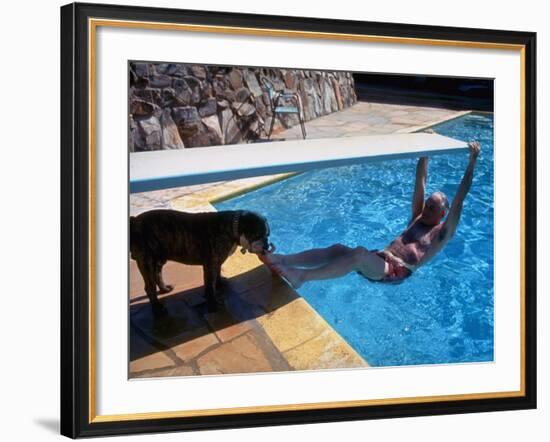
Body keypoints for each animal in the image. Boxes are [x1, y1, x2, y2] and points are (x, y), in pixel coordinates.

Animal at [132, 210, 274, 316]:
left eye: (267, 234)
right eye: (257, 235)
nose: (266, 245)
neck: (233, 225)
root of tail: (134, 221)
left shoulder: (217, 260)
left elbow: (217, 273)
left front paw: (220, 283)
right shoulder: (210, 263)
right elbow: (210, 285)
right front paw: (213, 305)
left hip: (159, 259)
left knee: (157, 275)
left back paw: (164, 289)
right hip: (147, 261)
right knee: (149, 287)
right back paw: (157, 309)